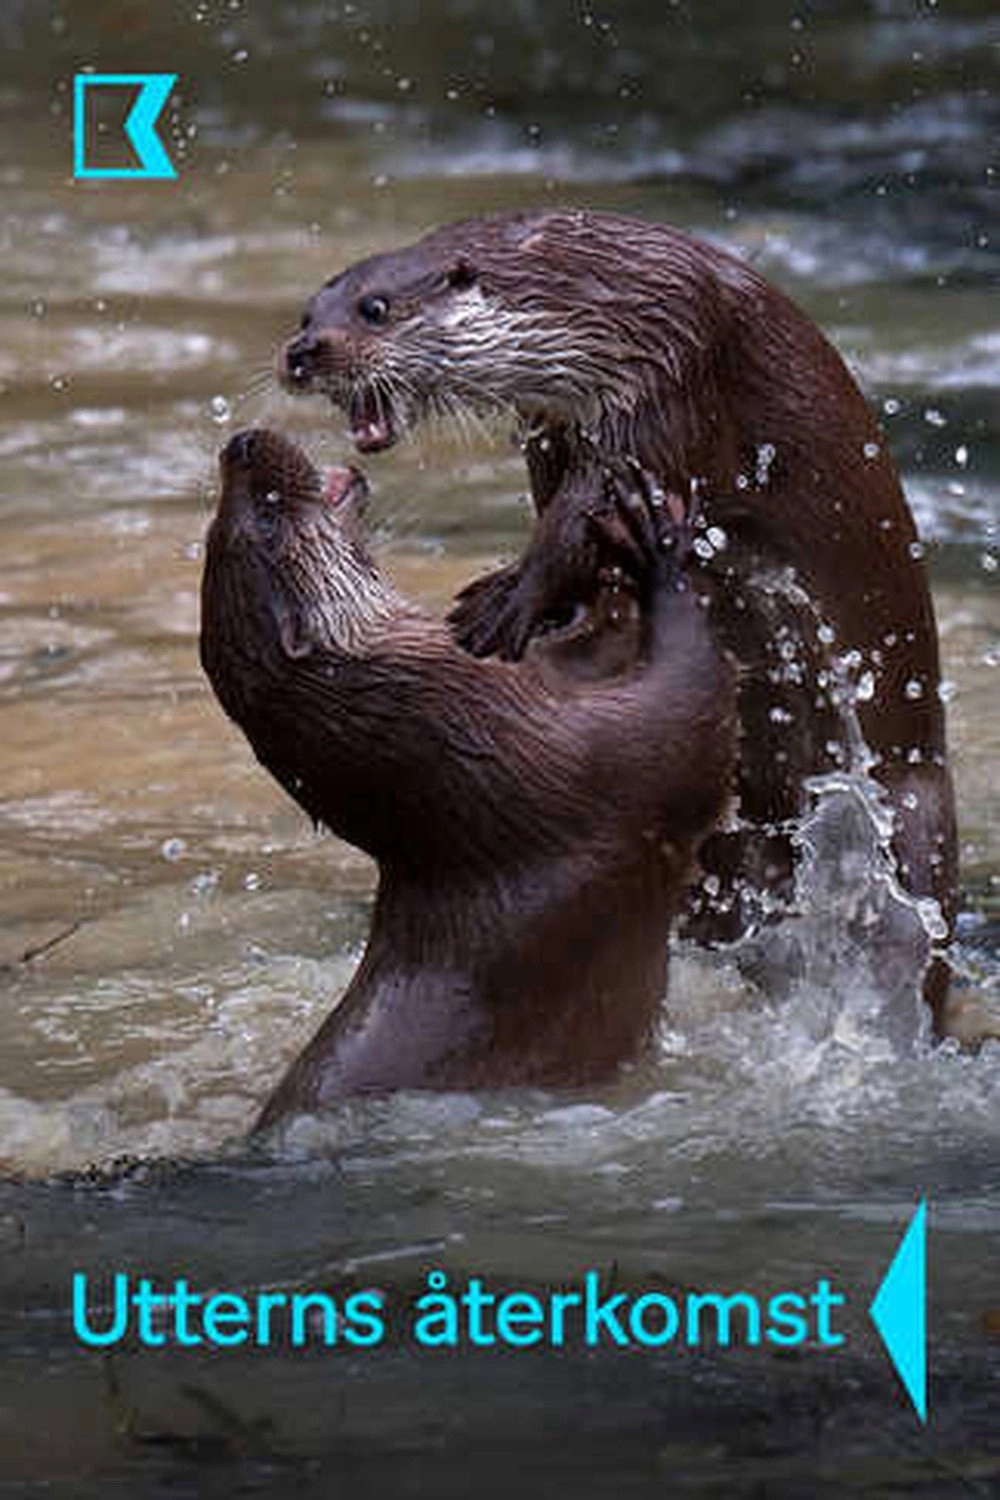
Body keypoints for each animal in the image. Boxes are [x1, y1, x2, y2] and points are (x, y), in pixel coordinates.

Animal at [200, 430, 736, 1127]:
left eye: (223, 518)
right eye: (267, 515)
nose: (239, 443)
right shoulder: (599, 763)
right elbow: (695, 706)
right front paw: (657, 544)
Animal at [278, 209, 957, 1013]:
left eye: (375, 308)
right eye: (307, 313)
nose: (300, 353)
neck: (605, 302)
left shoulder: (668, 379)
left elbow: (585, 518)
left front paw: (509, 600)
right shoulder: (555, 425)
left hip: (912, 818)